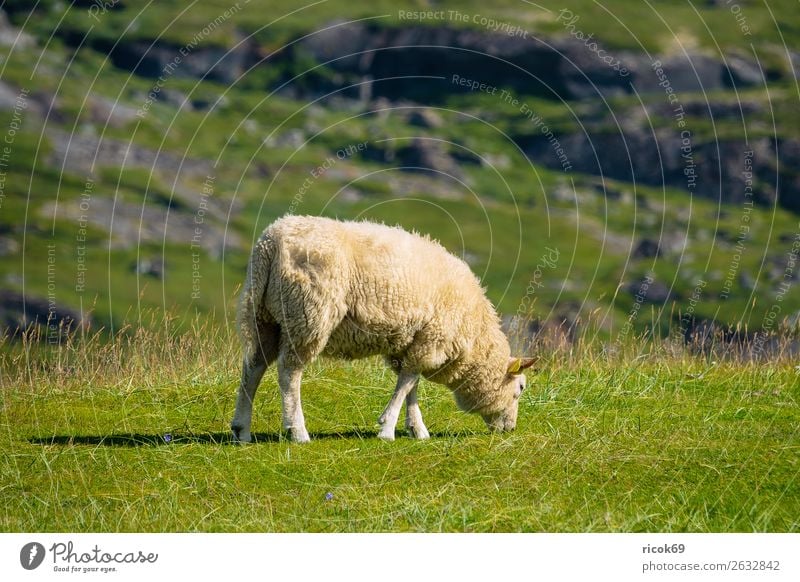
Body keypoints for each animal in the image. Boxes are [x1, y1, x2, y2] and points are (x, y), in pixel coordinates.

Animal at [228, 217, 536, 444]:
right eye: (520, 388)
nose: (510, 429)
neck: (474, 339)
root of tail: (272, 242)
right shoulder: (431, 339)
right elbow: (406, 384)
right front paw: (387, 428)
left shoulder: (413, 343)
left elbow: (411, 384)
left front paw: (416, 429)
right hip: (307, 315)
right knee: (289, 373)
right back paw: (297, 431)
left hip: (264, 316)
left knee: (253, 368)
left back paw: (242, 430)